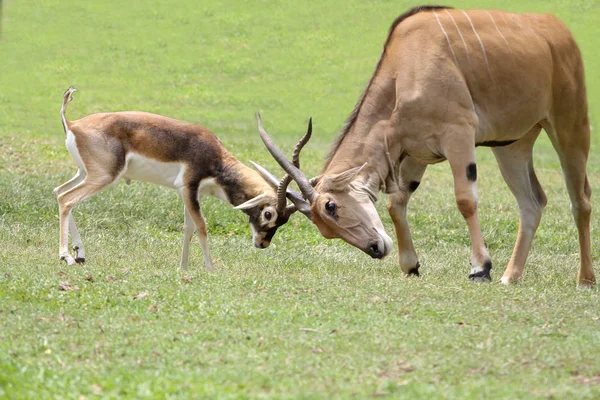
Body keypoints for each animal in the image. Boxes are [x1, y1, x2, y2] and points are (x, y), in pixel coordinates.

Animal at [55, 86, 310, 270]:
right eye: (268, 214)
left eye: (283, 221)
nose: (263, 243)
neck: (216, 157)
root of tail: (73, 123)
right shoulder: (188, 186)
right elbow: (202, 226)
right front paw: (210, 269)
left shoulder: (191, 193)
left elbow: (188, 228)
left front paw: (184, 267)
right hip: (104, 176)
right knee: (68, 200)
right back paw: (66, 257)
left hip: (85, 173)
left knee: (60, 193)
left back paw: (79, 255)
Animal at [258, 5, 596, 284]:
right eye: (326, 232)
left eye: (331, 206)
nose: (376, 248)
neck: (402, 70)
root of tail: (555, 28)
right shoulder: (414, 154)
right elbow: (396, 203)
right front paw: (410, 265)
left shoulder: (459, 137)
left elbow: (465, 200)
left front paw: (480, 268)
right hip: (511, 145)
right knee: (532, 202)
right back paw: (510, 277)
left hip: (570, 127)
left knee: (581, 200)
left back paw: (585, 279)